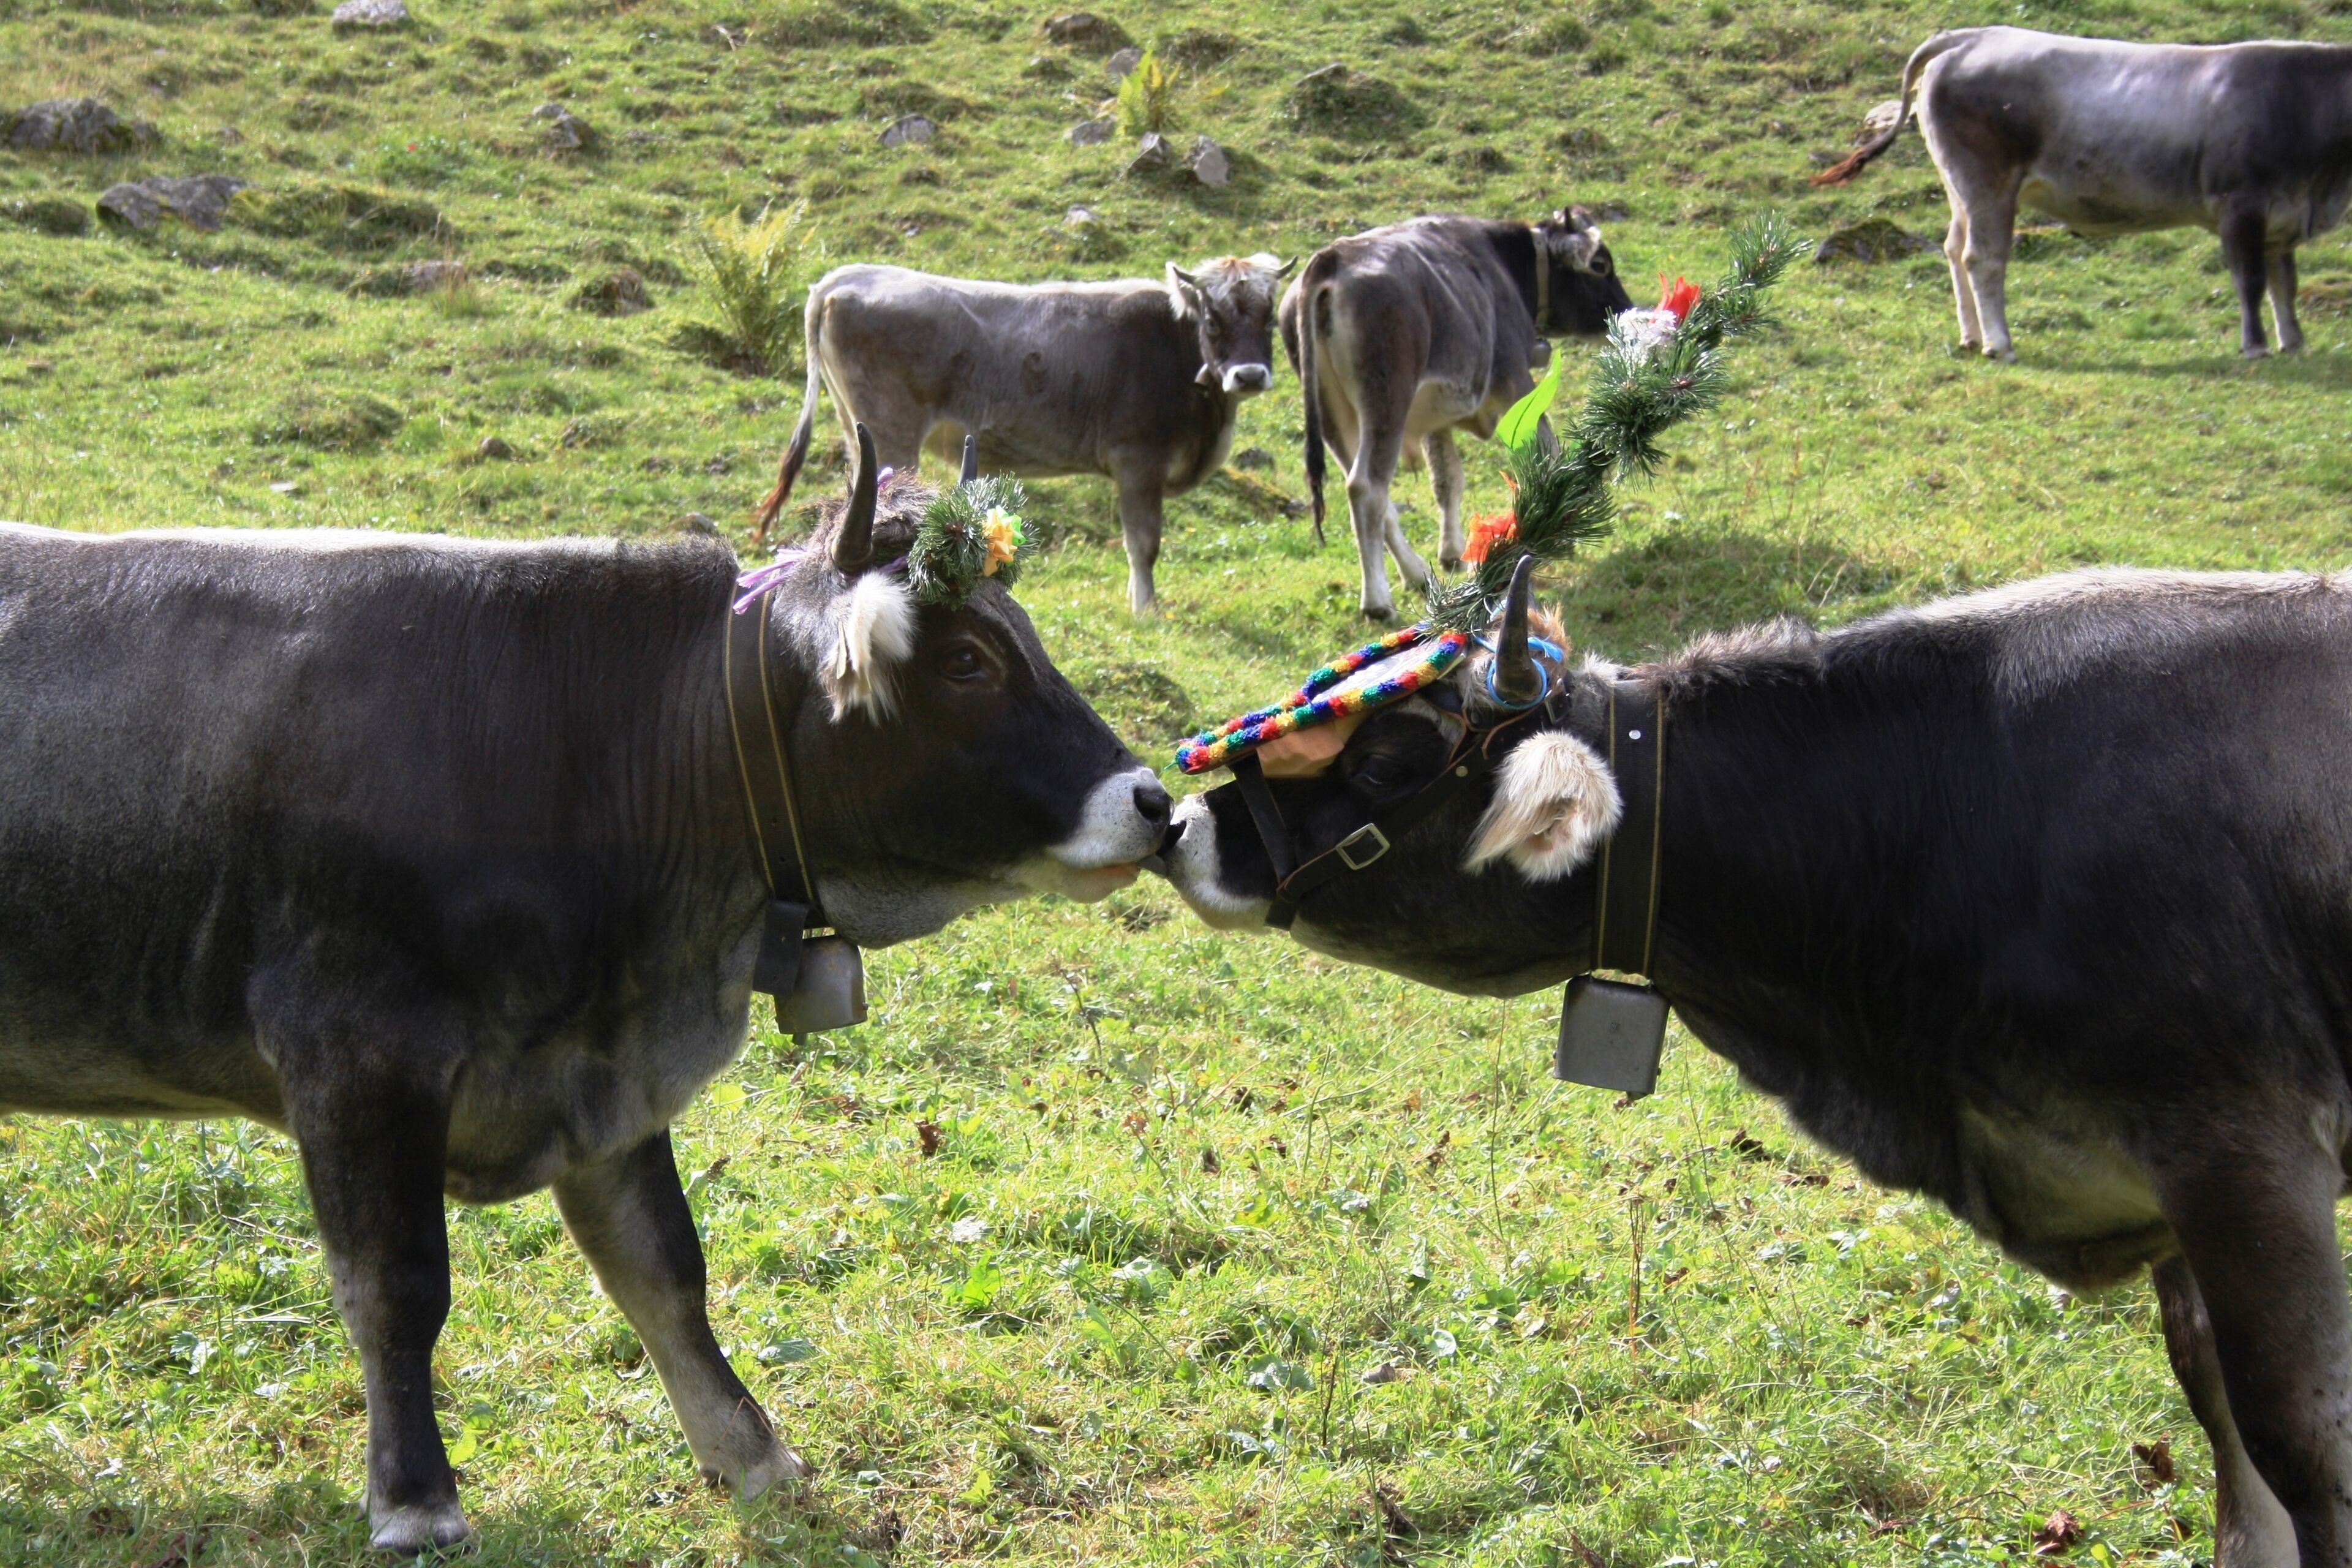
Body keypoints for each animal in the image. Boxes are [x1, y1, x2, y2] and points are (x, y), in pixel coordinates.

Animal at [0, 445, 1170, 1553]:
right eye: (968, 661)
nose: (1155, 801)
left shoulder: (602, 1070)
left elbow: (662, 1266)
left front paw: (752, 1455)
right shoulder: (355, 1052)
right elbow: (396, 1287)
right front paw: (416, 1498)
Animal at [753, 254, 1293, 615]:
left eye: (1269, 317)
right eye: (1214, 320)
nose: (1249, 375)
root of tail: (847, 275)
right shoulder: (1139, 460)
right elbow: (1143, 543)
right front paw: (1146, 611)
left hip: (856, 429)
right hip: (892, 430)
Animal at [1282, 208, 1634, 622]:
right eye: (1601, 265)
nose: (1625, 310)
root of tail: (1331, 258)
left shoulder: (1436, 421)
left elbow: (1447, 478)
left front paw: (1451, 553)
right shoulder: (1514, 379)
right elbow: (1547, 452)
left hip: (1333, 413)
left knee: (1373, 493)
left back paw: (1415, 572)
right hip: (1386, 397)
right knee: (1366, 487)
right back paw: (1378, 601)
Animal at [1812, 27, 2352, 361]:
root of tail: (1970, 35)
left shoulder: (2284, 214)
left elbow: (2286, 284)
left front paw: (2294, 342)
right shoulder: (2241, 205)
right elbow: (2253, 282)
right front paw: (2257, 346)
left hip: (1959, 186)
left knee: (1952, 246)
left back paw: (1971, 337)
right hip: (1987, 182)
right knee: (1982, 257)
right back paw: (1999, 343)